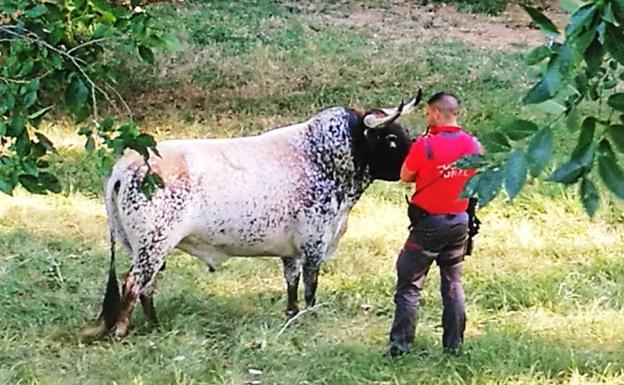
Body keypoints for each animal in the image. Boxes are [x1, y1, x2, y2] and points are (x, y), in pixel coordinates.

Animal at [81, 91, 424, 338]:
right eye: (392, 139)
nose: (416, 160)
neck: (322, 158)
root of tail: (128, 165)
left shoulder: (292, 251)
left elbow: (291, 282)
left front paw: (291, 314)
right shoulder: (315, 243)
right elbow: (310, 286)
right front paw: (310, 315)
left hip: (145, 247)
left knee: (146, 286)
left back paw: (154, 325)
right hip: (153, 245)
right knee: (133, 284)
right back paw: (122, 331)